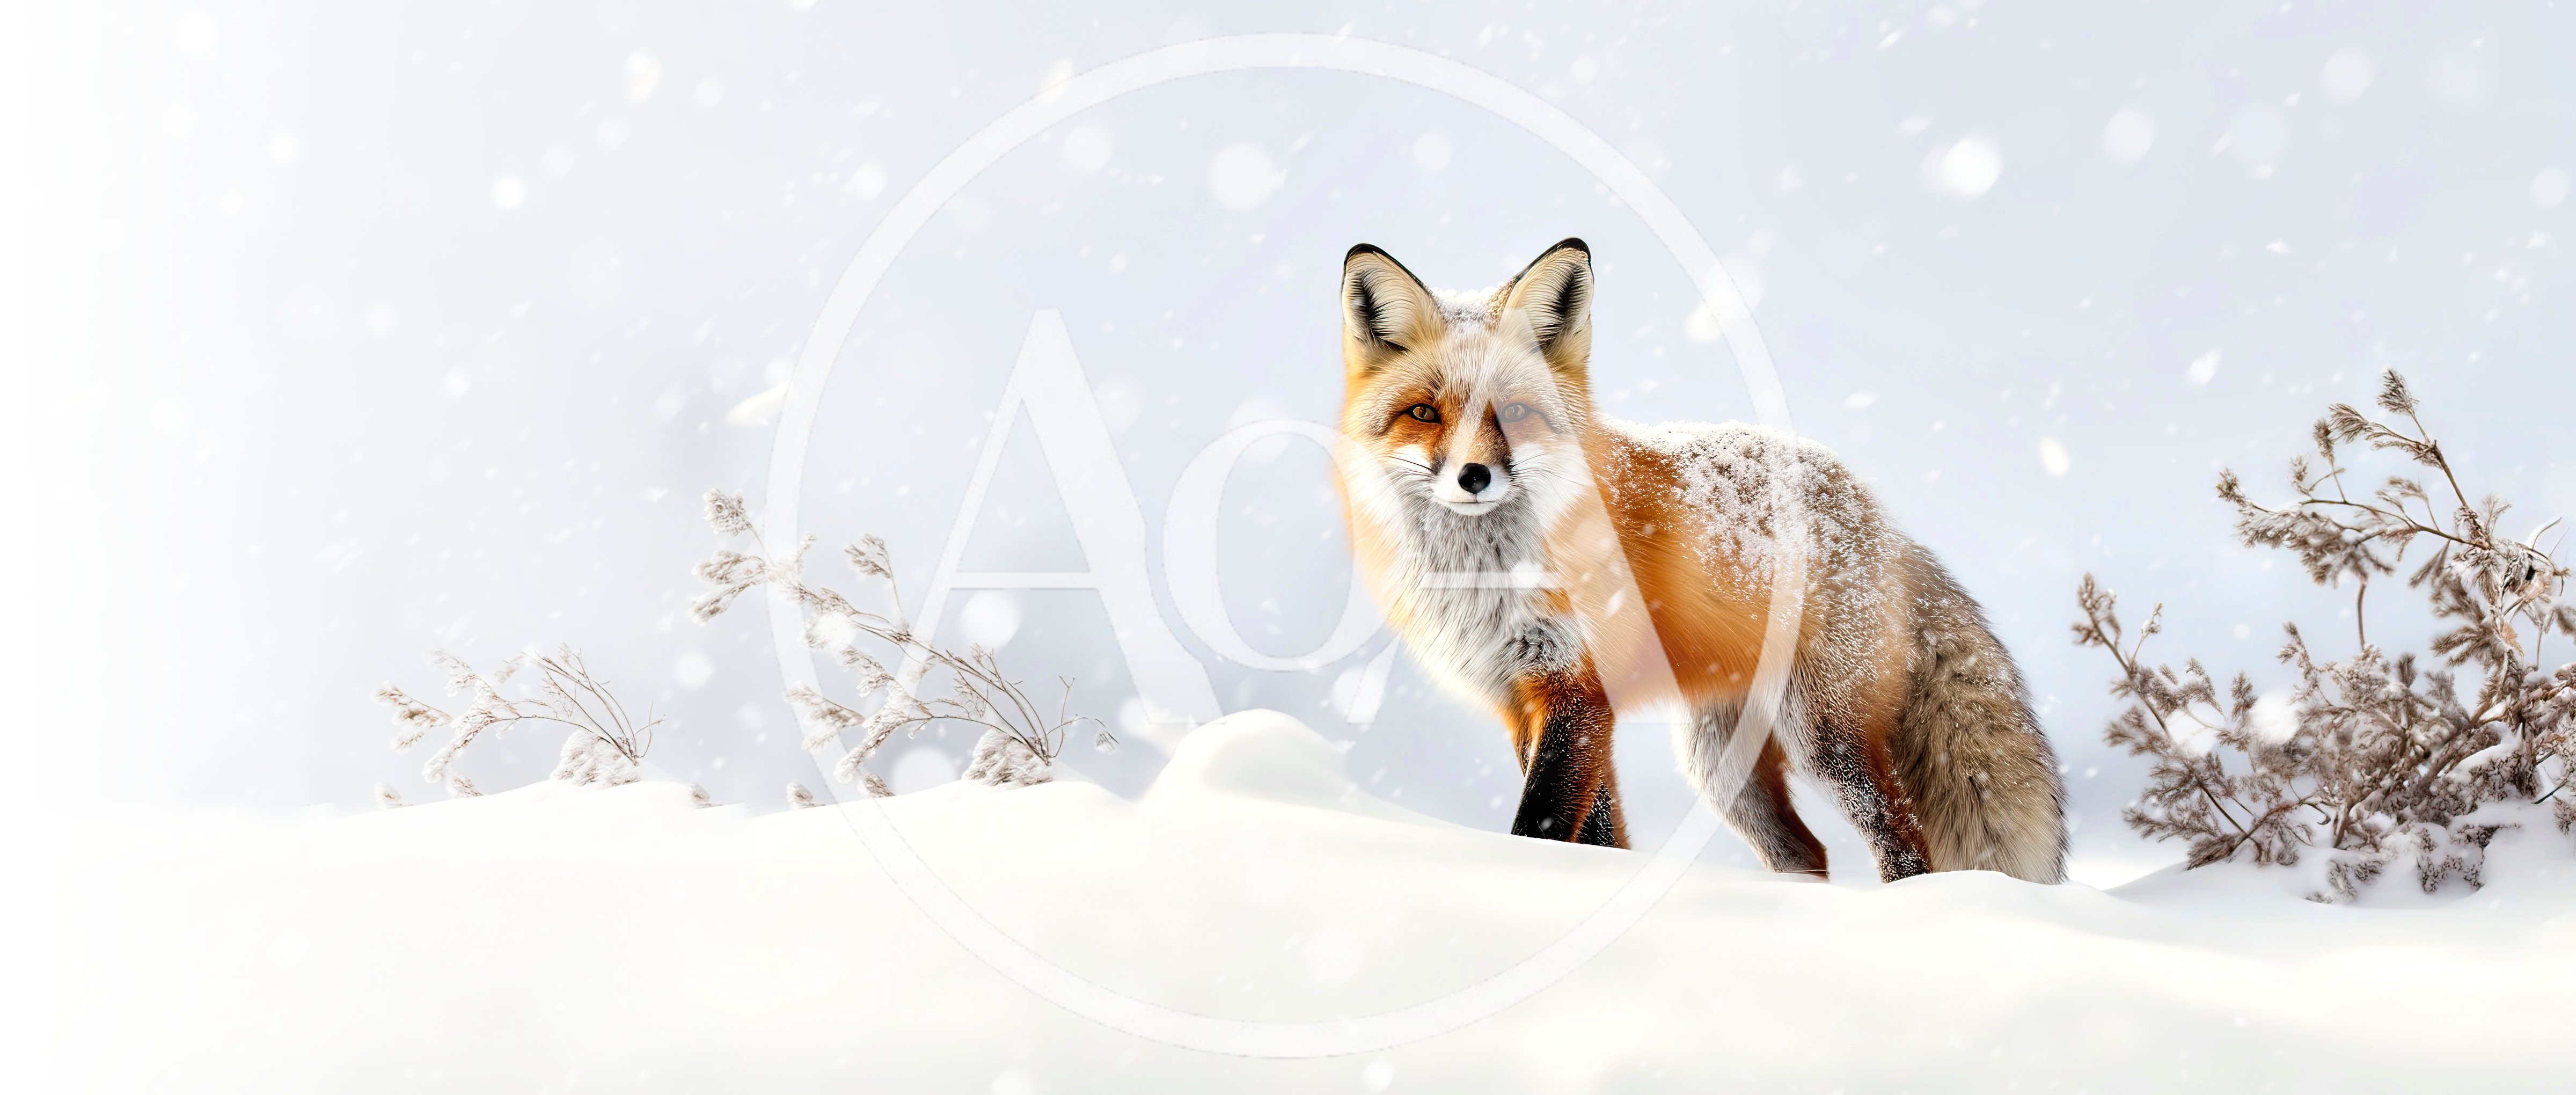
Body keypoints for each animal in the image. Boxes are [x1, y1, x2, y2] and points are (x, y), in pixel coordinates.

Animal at [1334, 238, 2066, 884]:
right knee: (1805, 852)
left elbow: (1541, 823)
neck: (1487, 578)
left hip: (1823, 740)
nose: (1474, 477)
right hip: (1720, 764)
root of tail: (1877, 516)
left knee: (1905, 840)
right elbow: (1599, 835)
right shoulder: (1525, 700)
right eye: (1424, 413)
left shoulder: (1576, 690)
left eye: (1514, 412)